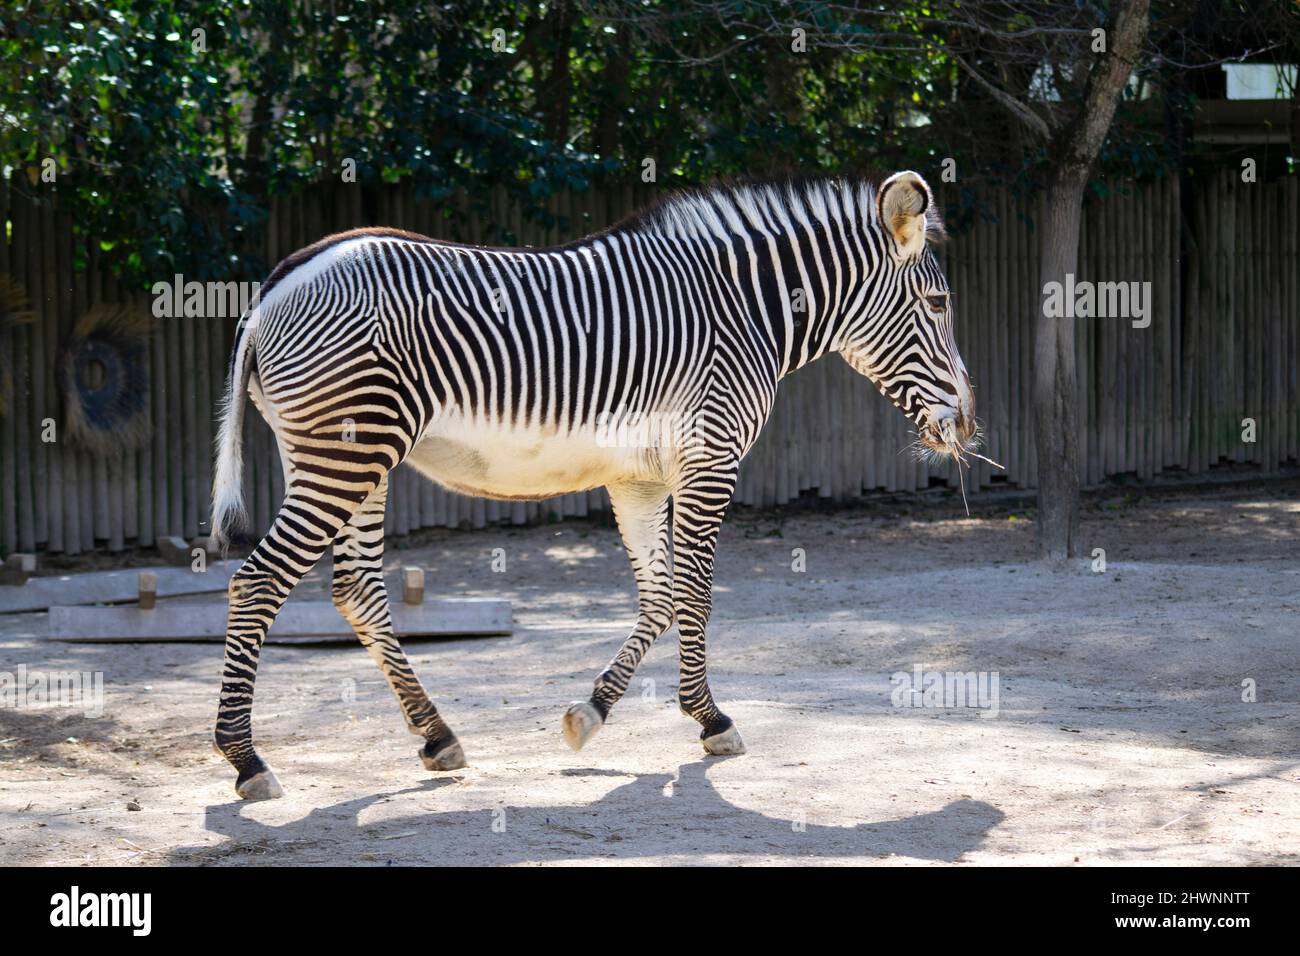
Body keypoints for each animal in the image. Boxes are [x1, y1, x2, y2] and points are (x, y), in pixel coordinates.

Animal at [208, 171, 977, 801]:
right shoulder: (710, 458)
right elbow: (695, 593)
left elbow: (661, 596)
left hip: (352, 458)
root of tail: (273, 288)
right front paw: (712, 720)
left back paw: (438, 736)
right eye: (939, 302)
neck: (745, 311)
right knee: (258, 581)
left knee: (358, 590)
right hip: (349, 451)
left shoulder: (638, 477)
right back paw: (246, 760)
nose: (969, 424)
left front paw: (594, 712)